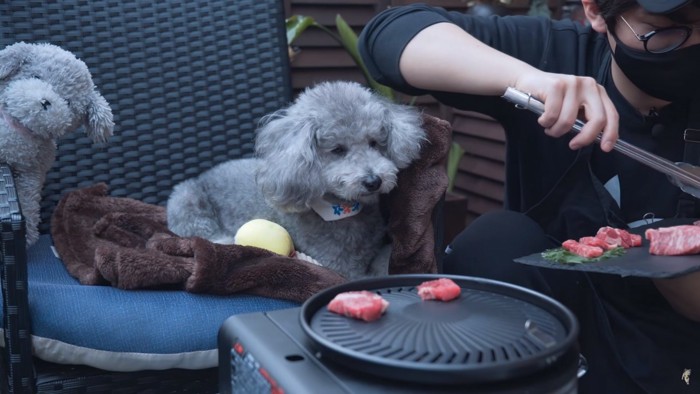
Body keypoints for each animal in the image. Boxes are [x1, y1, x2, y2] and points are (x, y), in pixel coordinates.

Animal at [167, 80, 424, 278]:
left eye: (374, 142)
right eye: (338, 150)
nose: (373, 181)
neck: (342, 209)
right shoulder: (338, 265)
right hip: (185, 199)